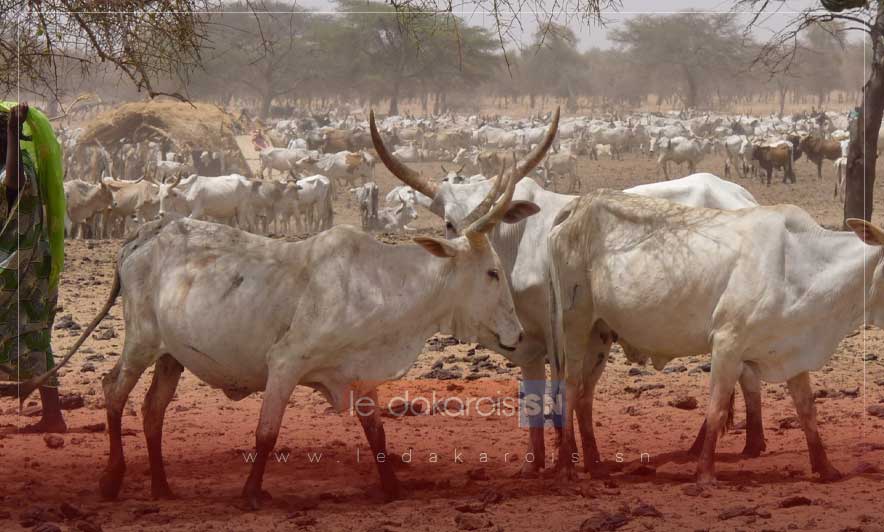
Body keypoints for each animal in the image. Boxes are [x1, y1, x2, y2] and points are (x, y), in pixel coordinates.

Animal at [372, 109, 768, 478]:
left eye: (495, 216)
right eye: (450, 222)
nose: (474, 246)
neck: (517, 245)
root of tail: (740, 194)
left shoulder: (560, 333)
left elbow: (564, 394)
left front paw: (571, 460)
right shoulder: (530, 344)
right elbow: (539, 400)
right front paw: (537, 464)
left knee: (741, 375)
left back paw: (742, 443)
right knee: (743, 374)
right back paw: (738, 443)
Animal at [548, 192, 868, 486]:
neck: (805, 261)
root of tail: (579, 204)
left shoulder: (792, 350)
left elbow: (806, 410)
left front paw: (825, 468)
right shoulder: (727, 344)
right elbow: (716, 408)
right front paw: (704, 473)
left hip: (599, 334)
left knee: (585, 396)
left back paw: (594, 465)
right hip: (575, 321)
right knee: (570, 387)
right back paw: (565, 468)